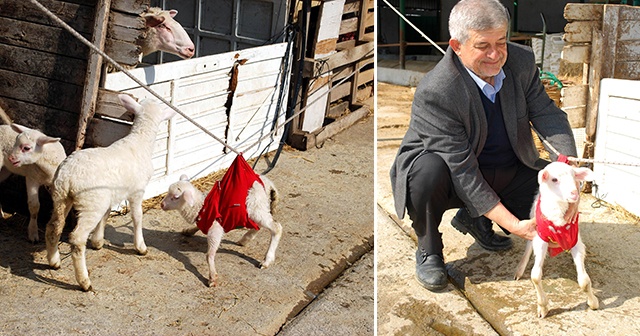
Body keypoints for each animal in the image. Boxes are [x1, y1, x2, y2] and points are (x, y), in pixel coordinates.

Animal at [45, 94, 176, 292]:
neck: (140, 140)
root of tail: (68, 176)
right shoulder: (137, 190)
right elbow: (137, 217)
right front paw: (141, 247)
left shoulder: (111, 195)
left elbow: (106, 216)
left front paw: (98, 242)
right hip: (91, 202)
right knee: (77, 238)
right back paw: (84, 281)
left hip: (61, 197)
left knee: (54, 226)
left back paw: (54, 262)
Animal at [160, 159, 282, 288]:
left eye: (176, 197)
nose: (162, 204)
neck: (201, 207)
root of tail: (269, 184)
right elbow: (198, 227)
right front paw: (188, 231)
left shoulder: (216, 228)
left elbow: (209, 254)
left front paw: (212, 277)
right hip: (255, 210)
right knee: (259, 225)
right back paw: (245, 239)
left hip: (256, 207)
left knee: (276, 227)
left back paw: (266, 260)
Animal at [512, 162, 596, 318]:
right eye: (554, 179)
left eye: (574, 176)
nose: (574, 193)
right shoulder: (541, 238)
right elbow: (535, 276)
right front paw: (543, 307)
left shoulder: (576, 241)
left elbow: (584, 281)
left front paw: (593, 303)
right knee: (528, 246)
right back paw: (520, 269)